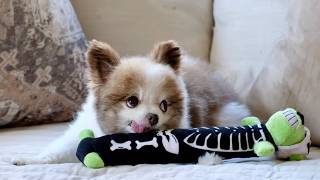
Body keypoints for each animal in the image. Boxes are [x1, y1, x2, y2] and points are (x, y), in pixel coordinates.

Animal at [13, 40, 250, 165]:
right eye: (132, 101)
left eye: (164, 105)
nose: (153, 117)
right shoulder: (80, 134)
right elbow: (57, 151)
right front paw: (27, 161)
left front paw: (209, 158)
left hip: (227, 114)